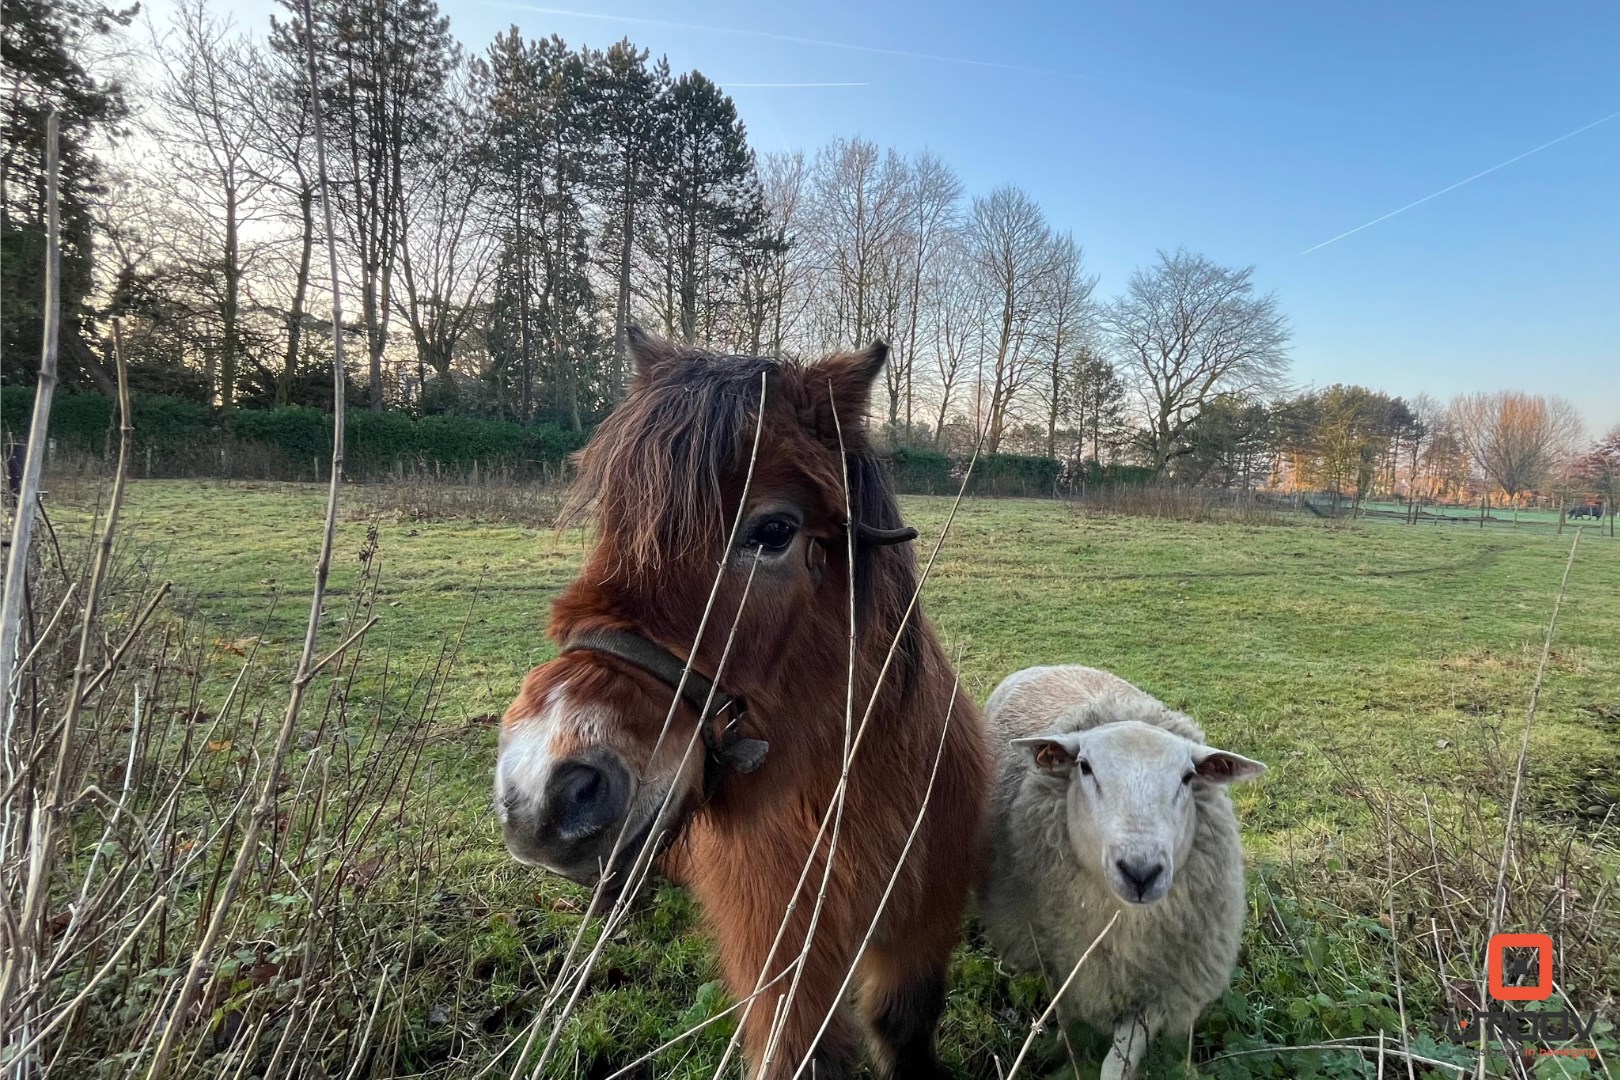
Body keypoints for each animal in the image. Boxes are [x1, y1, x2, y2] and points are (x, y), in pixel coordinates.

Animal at [495, 333, 984, 1075]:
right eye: (614, 521)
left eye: (774, 530)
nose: (542, 782)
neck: (846, 791)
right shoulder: (782, 960)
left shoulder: (923, 930)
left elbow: (905, 1023)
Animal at [972, 667, 1263, 1080]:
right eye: (1084, 767)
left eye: (1188, 777)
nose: (1141, 872)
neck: (1126, 927)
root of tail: (1057, 663)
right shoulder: (1060, 962)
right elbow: (1070, 1026)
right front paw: (1065, 1055)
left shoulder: (1162, 987)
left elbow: (1119, 1061)